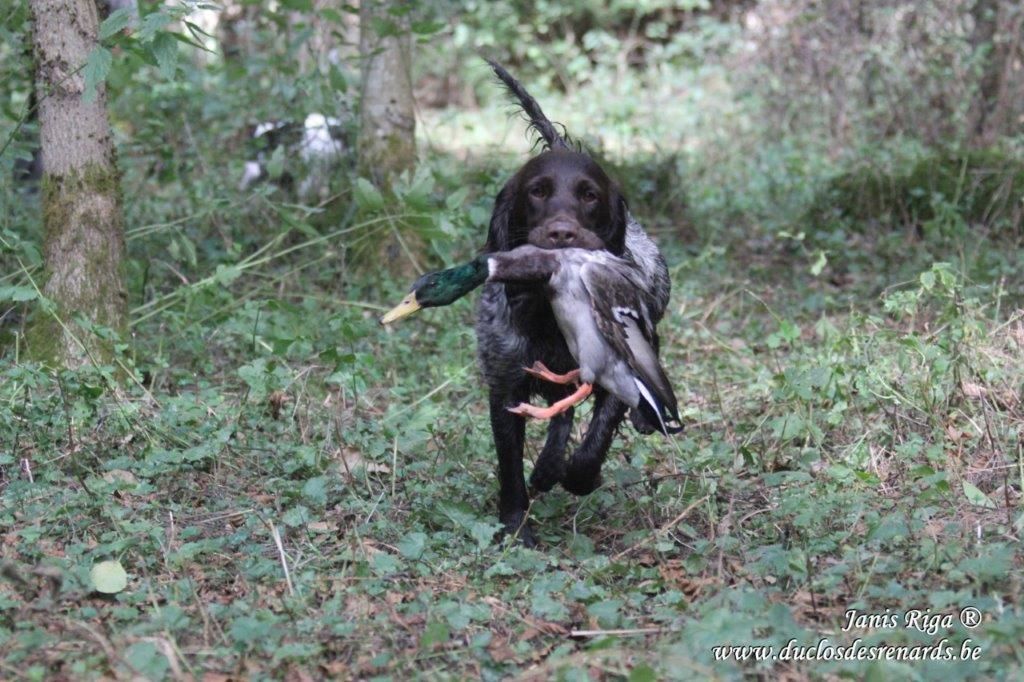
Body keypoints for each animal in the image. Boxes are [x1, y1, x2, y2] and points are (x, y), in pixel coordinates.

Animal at [473, 61, 671, 544]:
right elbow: (511, 465)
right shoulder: (506, 384)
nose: (562, 233)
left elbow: (595, 440)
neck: (551, 317)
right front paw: (515, 525)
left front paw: (581, 476)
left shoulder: (617, 368)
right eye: (537, 192)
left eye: (589, 195)